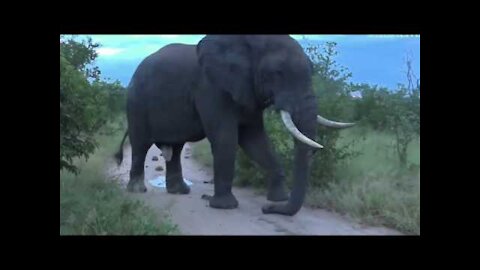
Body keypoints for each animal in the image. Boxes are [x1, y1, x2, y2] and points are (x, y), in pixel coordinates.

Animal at [114, 34, 354, 216]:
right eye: (277, 73)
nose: (267, 209)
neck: (248, 43)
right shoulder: (211, 87)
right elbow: (226, 138)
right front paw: (224, 206)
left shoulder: (249, 90)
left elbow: (255, 140)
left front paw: (278, 198)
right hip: (136, 102)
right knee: (141, 144)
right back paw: (137, 190)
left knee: (176, 147)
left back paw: (179, 191)